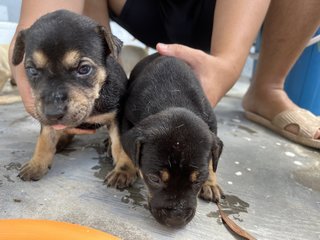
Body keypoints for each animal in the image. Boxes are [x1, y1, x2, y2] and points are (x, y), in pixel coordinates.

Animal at [11, 9, 137, 186]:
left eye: (84, 69)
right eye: (32, 70)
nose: (53, 112)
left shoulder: (117, 116)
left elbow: (120, 143)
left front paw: (124, 169)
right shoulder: (45, 117)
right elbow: (45, 139)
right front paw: (36, 164)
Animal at [119, 53, 224, 228]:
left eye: (198, 179)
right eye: (154, 179)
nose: (176, 220)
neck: (172, 98)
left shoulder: (212, 125)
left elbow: (212, 162)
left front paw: (210, 183)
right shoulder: (126, 119)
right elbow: (123, 150)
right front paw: (124, 170)